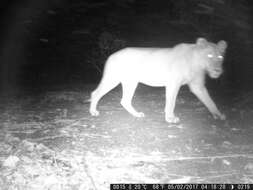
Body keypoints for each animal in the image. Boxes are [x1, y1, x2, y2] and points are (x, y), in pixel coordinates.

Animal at [89, 37, 227, 123]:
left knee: (125, 100)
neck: (197, 64)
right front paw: (170, 118)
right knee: (95, 93)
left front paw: (218, 114)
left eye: (220, 57)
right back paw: (93, 112)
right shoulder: (173, 83)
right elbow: (171, 102)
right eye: (209, 55)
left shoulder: (197, 86)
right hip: (113, 79)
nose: (217, 71)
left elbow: (209, 101)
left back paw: (137, 114)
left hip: (131, 82)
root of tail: (111, 55)